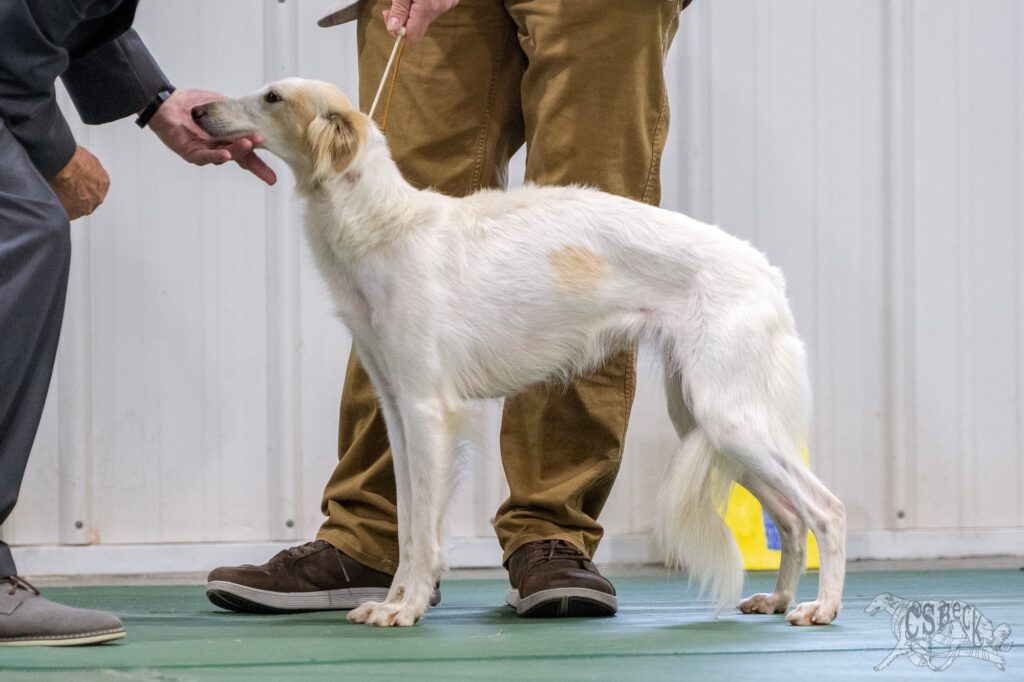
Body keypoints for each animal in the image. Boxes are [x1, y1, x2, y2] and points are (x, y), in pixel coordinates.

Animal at [193, 76, 847, 622]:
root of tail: (765, 272)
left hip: (727, 416)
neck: (387, 224)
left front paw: (405, 610)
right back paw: (778, 598)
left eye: (272, 96)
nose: (197, 109)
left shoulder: (429, 411)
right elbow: (407, 528)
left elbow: (424, 535)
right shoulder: (399, 412)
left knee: (825, 510)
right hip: (707, 418)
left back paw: (821, 607)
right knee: (791, 518)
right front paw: (395, 601)